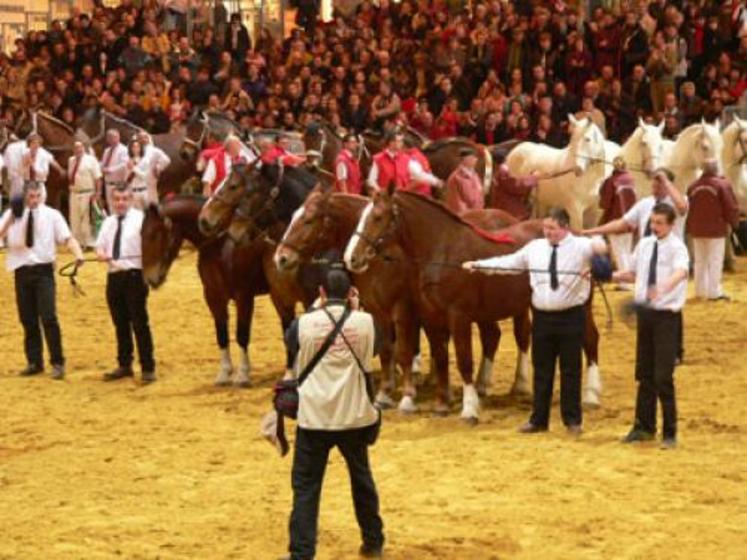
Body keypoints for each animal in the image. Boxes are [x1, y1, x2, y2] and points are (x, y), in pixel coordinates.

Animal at [142, 195, 314, 382]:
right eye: (141, 234)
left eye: (153, 235)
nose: (150, 278)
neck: (222, 246)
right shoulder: (213, 296)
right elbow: (222, 334)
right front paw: (224, 373)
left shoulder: (243, 296)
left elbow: (242, 334)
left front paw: (243, 374)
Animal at [346, 190, 608, 422]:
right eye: (361, 215)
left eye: (378, 216)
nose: (352, 258)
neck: (443, 250)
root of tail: (577, 235)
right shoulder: (432, 318)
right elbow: (441, 358)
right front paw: (442, 405)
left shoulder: (457, 316)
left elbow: (463, 360)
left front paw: (469, 409)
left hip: (582, 305)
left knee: (590, 339)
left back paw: (591, 396)